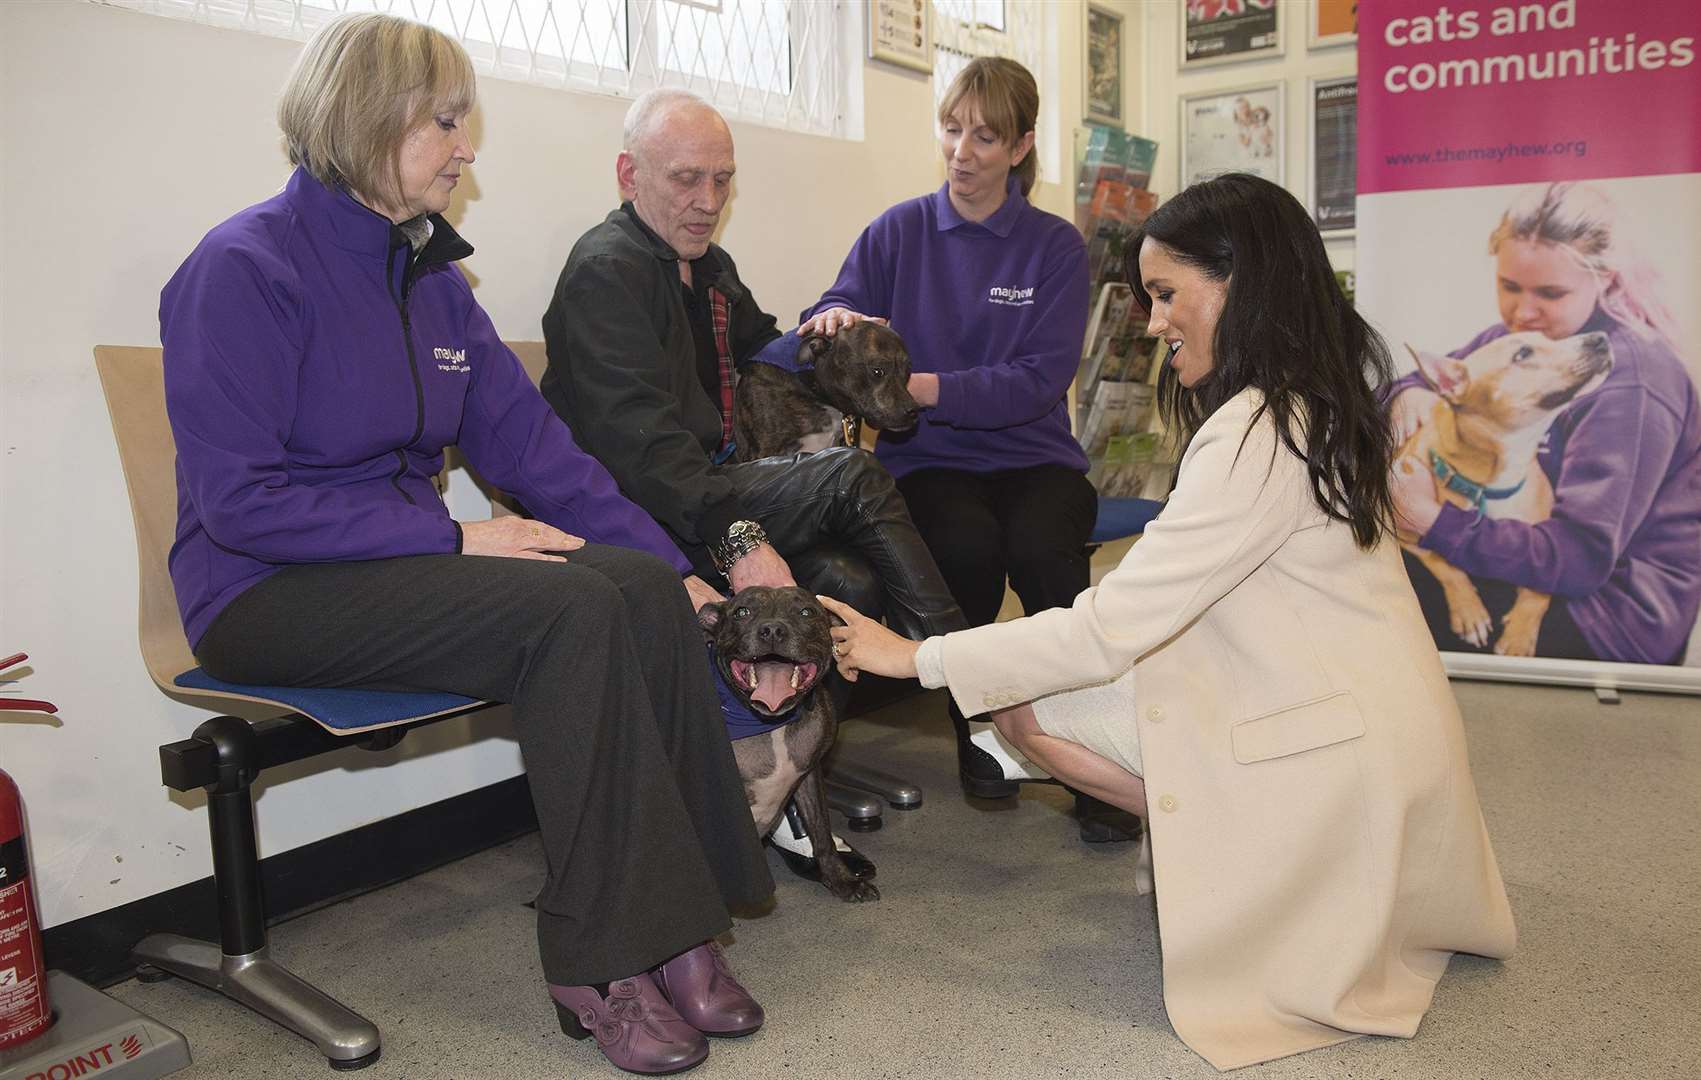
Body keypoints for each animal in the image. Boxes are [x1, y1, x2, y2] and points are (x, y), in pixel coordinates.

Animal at [697, 588, 877, 898]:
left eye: (806, 612)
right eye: (741, 612)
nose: (772, 630)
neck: (770, 725)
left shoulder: (810, 776)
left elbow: (821, 833)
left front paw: (841, 879)